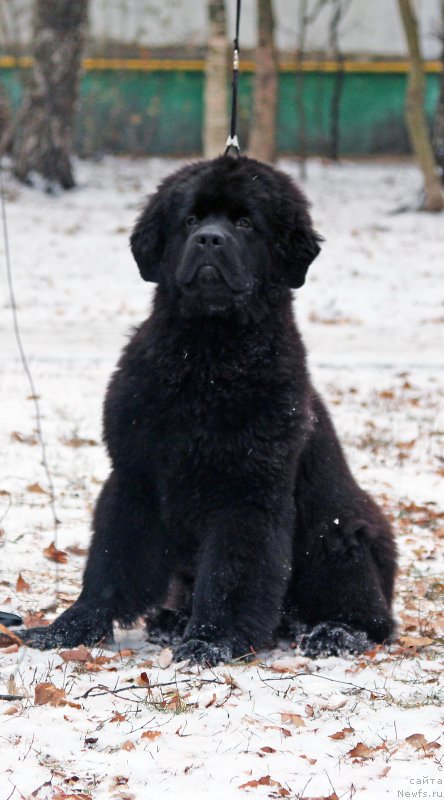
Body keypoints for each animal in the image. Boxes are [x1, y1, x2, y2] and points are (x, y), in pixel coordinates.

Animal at [21, 156, 396, 664]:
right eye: (191, 220)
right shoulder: (135, 476)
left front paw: (210, 641)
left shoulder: (247, 490)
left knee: (375, 621)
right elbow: (110, 563)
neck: (205, 357)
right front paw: (69, 629)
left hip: (339, 534)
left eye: (245, 223)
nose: (209, 240)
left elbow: (230, 574)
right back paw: (172, 621)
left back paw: (333, 633)